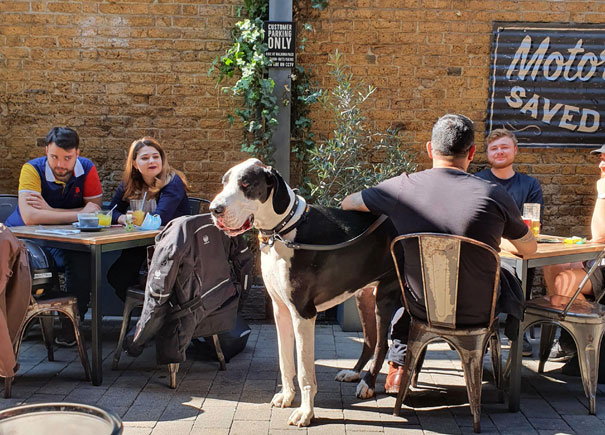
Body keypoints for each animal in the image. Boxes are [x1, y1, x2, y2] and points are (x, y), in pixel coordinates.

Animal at [210, 158, 398, 428]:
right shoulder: (280, 310)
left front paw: (305, 412)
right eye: (224, 182)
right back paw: (354, 373)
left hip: (386, 296)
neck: (282, 231)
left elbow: (305, 372)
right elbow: (285, 360)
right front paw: (287, 396)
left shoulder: (303, 313)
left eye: (246, 183)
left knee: (382, 343)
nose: (215, 210)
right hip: (363, 295)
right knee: (370, 339)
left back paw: (368, 384)